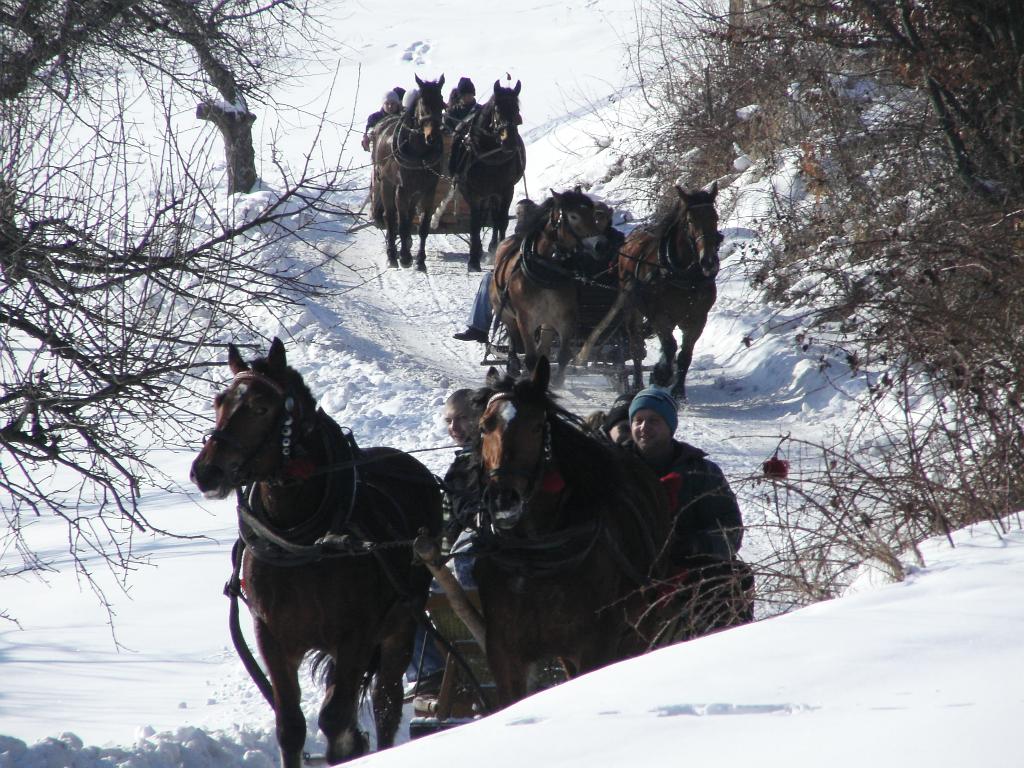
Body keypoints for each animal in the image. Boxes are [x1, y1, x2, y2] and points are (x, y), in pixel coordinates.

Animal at [188, 339, 440, 765]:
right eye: (219, 401)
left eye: (261, 406)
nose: (206, 472)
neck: (301, 541)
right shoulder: (272, 637)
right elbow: (291, 726)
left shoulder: (356, 636)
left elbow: (335, 720)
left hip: (401, 626)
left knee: (386, 704)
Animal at [372, 72, 444, 270]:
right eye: (423, 103)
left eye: (442, 103)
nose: (433, 137)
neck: (419, 154)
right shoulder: (401, 190)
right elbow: (402, 225)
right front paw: (404, 257)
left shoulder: (428, 190)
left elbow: (423, 227)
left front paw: (420, 260)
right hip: (386, 184)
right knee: (390, 218)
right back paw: (392, 255)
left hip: (414, 193)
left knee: (409, 216)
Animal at [450, 79, 524, 272]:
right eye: (497, 109)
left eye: (517, 109)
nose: (509, 141)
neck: (491, 157)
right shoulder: (473, 193)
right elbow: (475, 224)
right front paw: (473, 261)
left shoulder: (506, 190)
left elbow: (501, 221)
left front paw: (501, 252)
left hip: (494, 194)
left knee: (495, 218)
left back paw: (492, 246)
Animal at [473, 358, 671, 708]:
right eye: (485, 426)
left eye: (537, 426)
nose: (504, 499)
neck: (534, 555)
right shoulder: (504, 650)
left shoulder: (596, 643)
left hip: (642, 623)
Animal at [491, 190, 610, 387]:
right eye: (574, 216)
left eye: (593, 214)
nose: (601, 245)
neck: (546, 271)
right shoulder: (525, 320)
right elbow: (531, 359)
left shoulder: (565, 318)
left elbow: (562, 356)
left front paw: (558, 381)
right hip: (506, 313)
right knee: (513, 336)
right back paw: (513, 363)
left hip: (547, 323)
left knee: (543, 348)